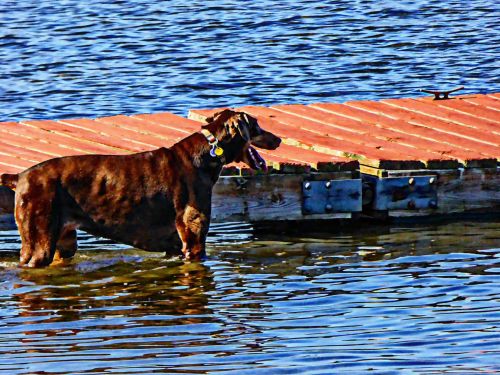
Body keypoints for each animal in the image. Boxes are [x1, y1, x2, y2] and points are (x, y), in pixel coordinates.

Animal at [0, 110, 282, 268]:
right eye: (256, 124)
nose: (278, 139)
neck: (208, 153)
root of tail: (19, 176)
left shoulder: (174, 247)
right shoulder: (193, 240)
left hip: (63, 241)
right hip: (40, 242)